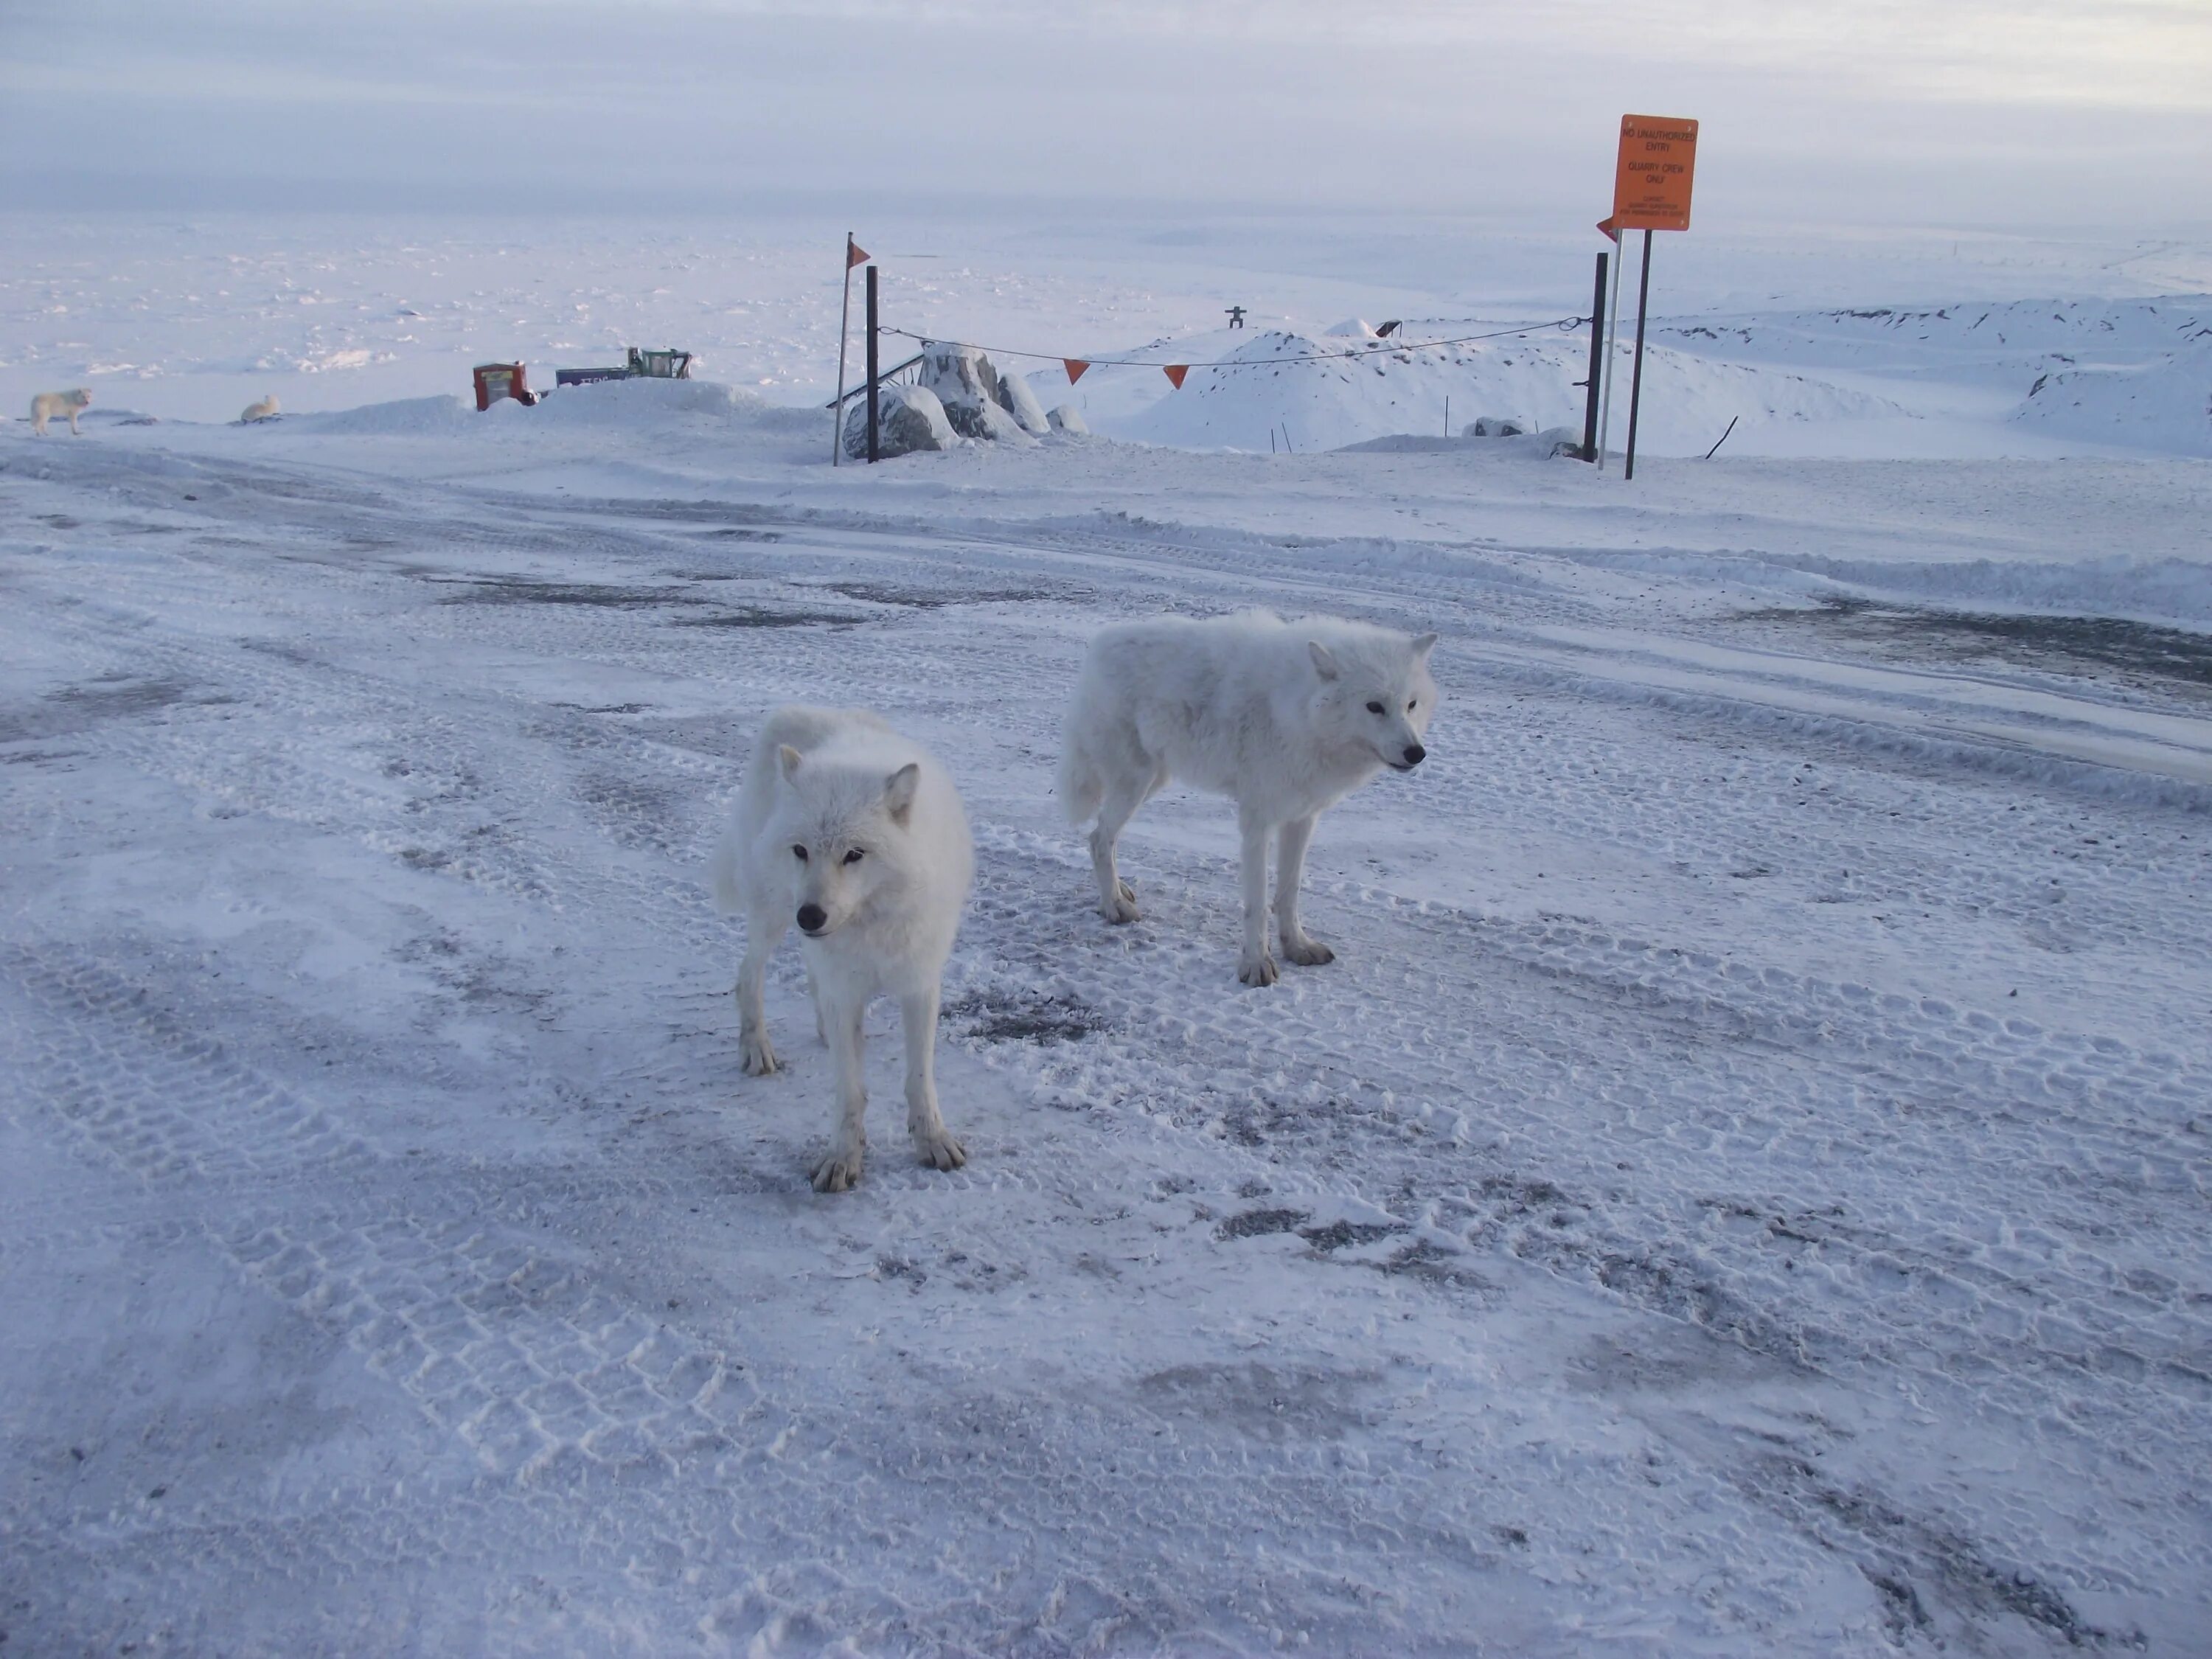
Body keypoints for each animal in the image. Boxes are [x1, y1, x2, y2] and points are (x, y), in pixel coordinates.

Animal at [712, 708, 973, 1186]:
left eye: (855, 854)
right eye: (801, 850)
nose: (810, 917)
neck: (872, 927)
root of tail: (795, 708)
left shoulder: (919, 983)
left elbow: (919, 1079)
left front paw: (932, 1141)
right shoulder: (846, 985)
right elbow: (851, 1091)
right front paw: (843, 1157)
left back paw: (821, 1029)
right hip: (772, 916)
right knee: (747, 975)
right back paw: (756, 1047)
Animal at [1062, 619, 1442, 995]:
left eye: (1411, 705)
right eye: (1374, 706)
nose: (1416, 753)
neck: (1297, 709)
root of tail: (1101, 642)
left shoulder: (1302, 818)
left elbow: (1289, 893)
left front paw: (1297, 947)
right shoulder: (1257, 821)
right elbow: (1258, 904)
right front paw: (1257, 964)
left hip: (1153, 782)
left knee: (1103, 837)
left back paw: (1119, 891)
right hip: (1135, 783)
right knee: (1098, 839)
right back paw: (1113, 905)